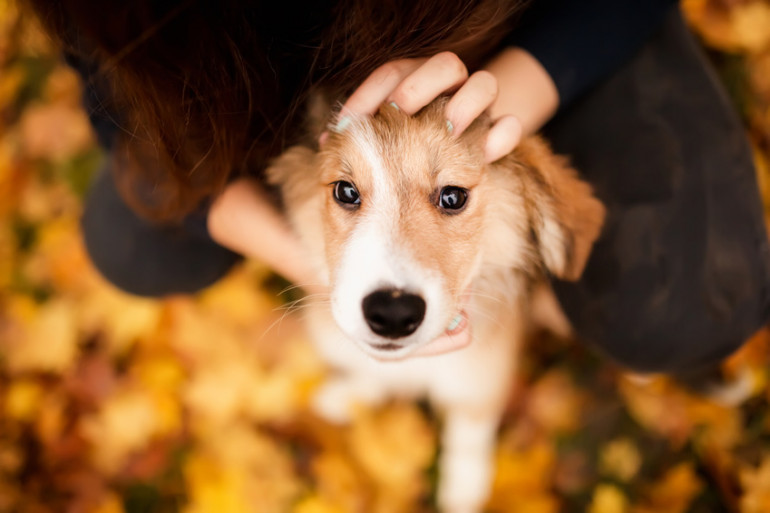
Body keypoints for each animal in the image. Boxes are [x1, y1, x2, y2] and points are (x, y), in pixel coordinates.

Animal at [268, 101, 604, 512]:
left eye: (453, 197)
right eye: (346, 191)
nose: (393, 313)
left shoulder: (484, 367)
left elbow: (470, 428)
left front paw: (463, 489)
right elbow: (369, 370)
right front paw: (346, 395)